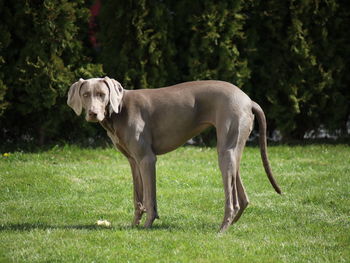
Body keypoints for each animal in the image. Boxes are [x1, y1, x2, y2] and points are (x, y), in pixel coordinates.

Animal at [67, 76, 282, 233]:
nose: (93, 114)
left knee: (233, 201)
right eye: (85, 94)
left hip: (226, 151)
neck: (120, 110)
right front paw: (134, 225)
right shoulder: (133, 161)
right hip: (233, 152)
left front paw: (147, 226)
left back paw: (222, 230)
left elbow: (149, 198)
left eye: (102, 94)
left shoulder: (147, 159)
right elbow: (137, 197)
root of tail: (248, 99)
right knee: (243, 197)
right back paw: (231, 225)